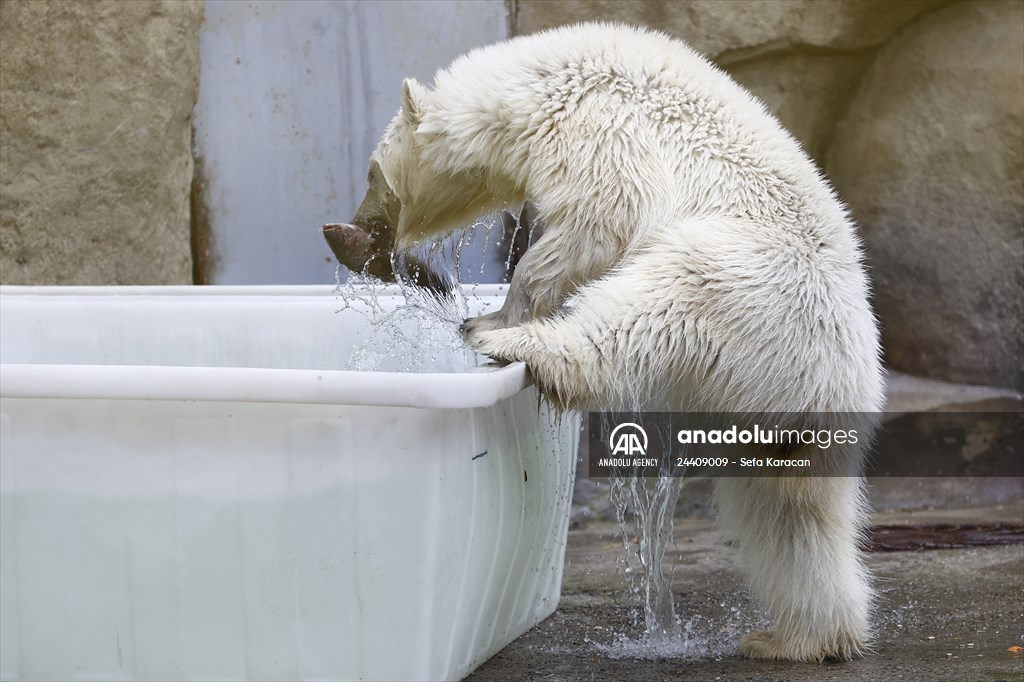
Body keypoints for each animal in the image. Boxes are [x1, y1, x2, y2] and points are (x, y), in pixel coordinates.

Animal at [331, 22, 884, 663]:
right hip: (780, 404)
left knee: (655, 300)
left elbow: (595, 223)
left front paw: (491, 318)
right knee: (789, 514)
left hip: (749, 286)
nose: (349, 231)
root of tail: (838, 376)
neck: (539, 85)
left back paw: (530, 347)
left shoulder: (600, 131)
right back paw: (796, 637)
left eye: (372, 173)